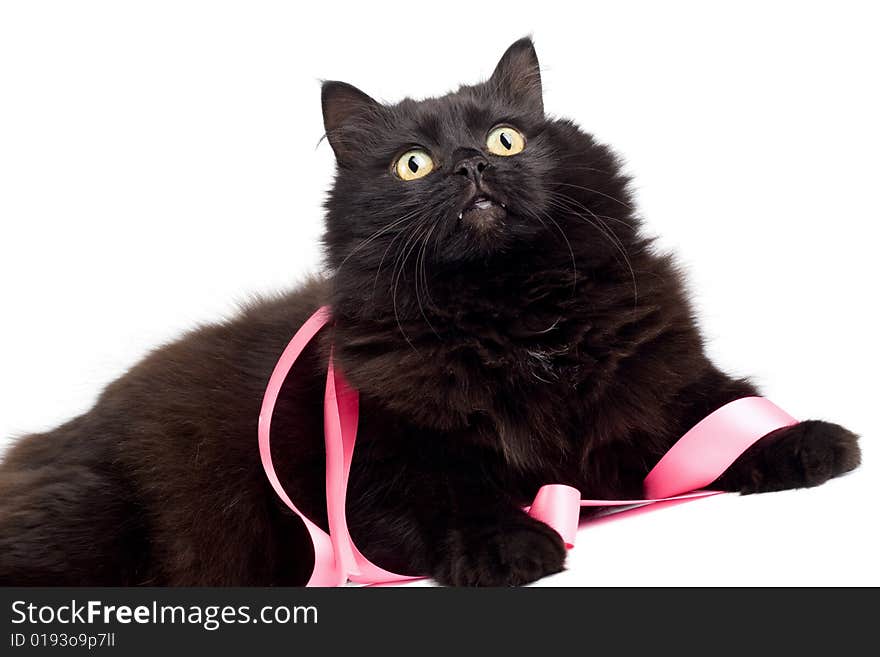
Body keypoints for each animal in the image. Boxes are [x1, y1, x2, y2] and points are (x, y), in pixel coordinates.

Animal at [0, 37, 860, 584]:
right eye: (413, 164)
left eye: (507, 138)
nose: (471, 164)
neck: (516, 320)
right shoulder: (382, 461)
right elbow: (450, 493)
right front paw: (512, 545)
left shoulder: (656, 378)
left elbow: (723, 410)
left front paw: (810, 441)